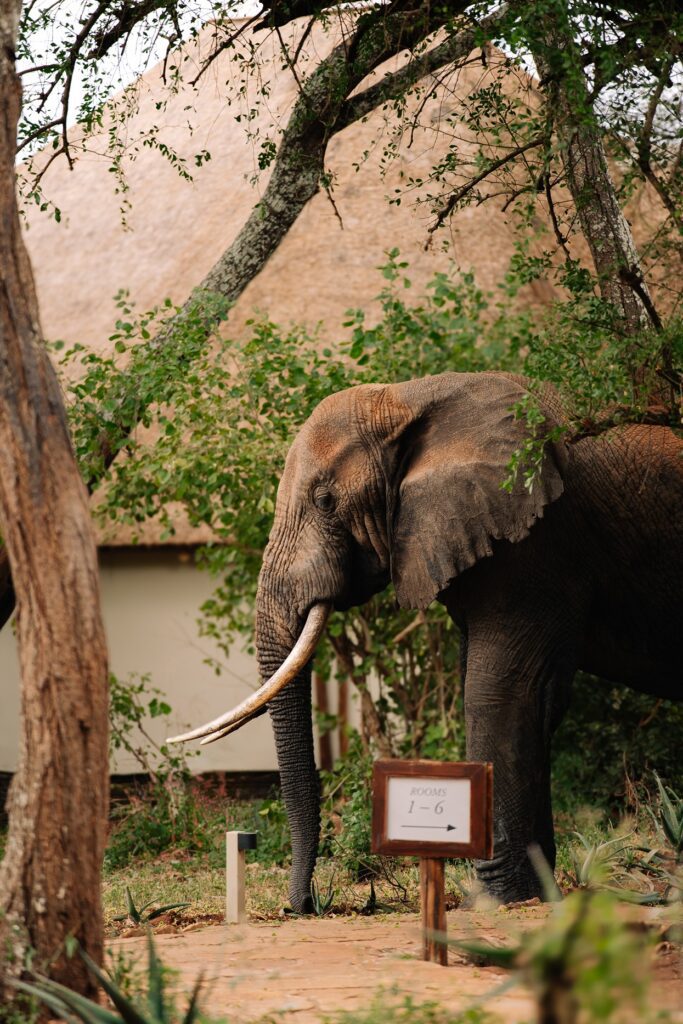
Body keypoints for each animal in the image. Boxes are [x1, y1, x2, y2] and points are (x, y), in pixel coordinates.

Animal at [171, 371, 683, 909]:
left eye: (325, 501)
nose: (305, 905)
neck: (406, 397)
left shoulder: (538, 539)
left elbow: (499, 694)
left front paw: (496, 902)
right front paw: (536, 895)